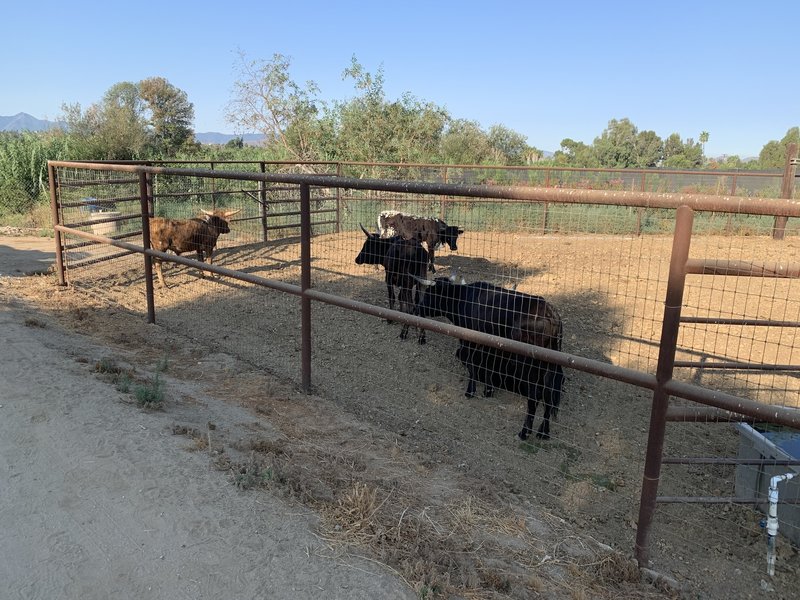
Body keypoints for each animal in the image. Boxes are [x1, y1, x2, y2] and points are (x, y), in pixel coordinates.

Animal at [406, 278, 564, 440]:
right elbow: (488, 364)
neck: (463, 299)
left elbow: (471, 363)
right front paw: (488, 390)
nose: (417, 309)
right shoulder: (490, 345)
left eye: (429, 293)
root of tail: (550, 313)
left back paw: (524, 432)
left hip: (528, 363)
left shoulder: (469, 341)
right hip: (551, 362)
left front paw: (470, 391)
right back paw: (544, 432)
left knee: (535, 395)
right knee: (549, 394)